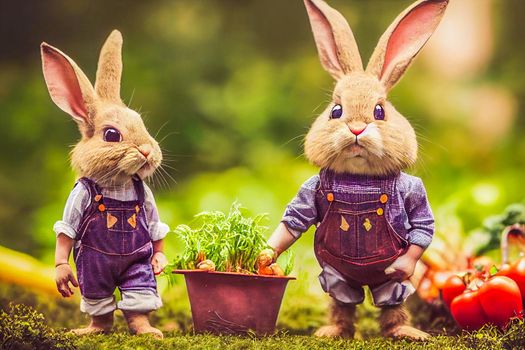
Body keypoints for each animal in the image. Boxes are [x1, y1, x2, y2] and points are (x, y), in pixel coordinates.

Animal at [43, 30, 170, 340]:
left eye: (141, 123)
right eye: (111, 135)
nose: (148, 151)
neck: (117, 186)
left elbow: (156, 230)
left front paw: (160, 263)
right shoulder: (79, 195)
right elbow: (65, 232)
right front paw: (62, 276)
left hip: (136, 272)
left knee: (137, 296)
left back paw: (147, 330)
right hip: (92, 273)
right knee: (98, 299)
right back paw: (92, 329)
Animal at [258, 0, 446, 340]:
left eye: (379, 111)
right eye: (336, 111)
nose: (357, 128)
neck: (359, 181)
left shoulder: (413, 191)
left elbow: (422, 228)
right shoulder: (313, 190)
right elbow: (294, 221)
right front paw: (266, 256)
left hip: (387, 284)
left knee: (391, 297)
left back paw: (404, 331)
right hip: (335, 272)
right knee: (342, 297)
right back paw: (333, 331)